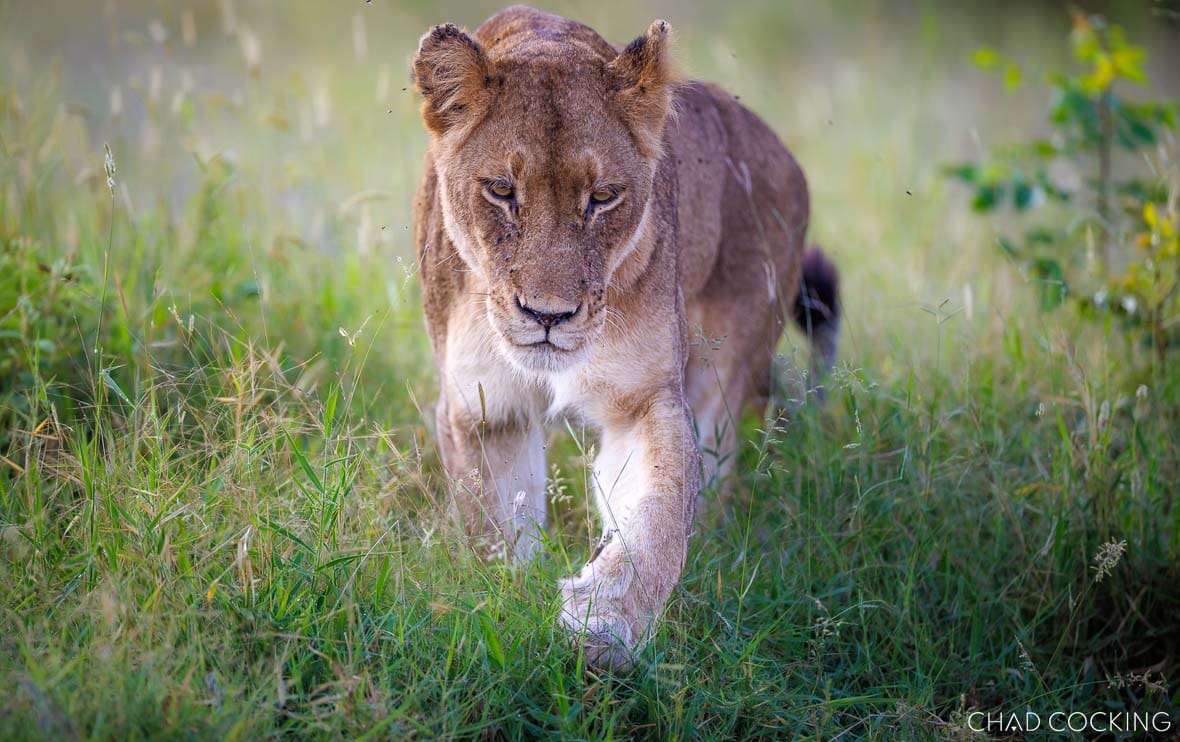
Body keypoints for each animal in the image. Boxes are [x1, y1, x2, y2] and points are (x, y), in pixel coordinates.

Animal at [411, 5, 840, 669]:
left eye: (603, 197)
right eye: (501, 191)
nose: (549, 315)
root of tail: (786, 158)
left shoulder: (644, 397)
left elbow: (658, 512)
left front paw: (605, 623)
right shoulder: (482, 405)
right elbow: (496, 524)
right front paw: (508, 599)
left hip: (727, 370)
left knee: (710, 477)